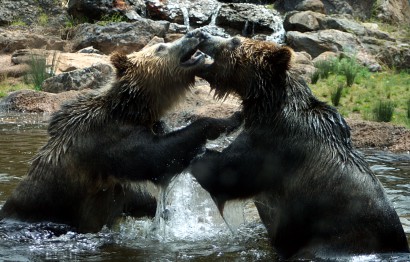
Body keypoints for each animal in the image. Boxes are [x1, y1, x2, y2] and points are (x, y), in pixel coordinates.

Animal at [0, 31, 243, 233]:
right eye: (161, 47)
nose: (195, 34)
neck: (132, 109)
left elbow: (137, 196)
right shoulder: (107, 139)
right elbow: (157, 157)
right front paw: (228, 119)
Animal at [190, 32, 410, 260]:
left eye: (235, 40)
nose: (203, 35)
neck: (266, 105)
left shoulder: (272, 145)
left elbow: (228, 173)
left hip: (333, 238)